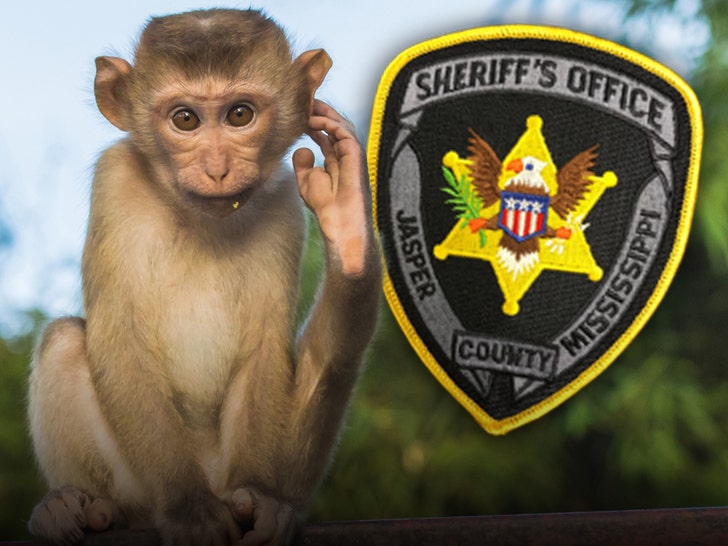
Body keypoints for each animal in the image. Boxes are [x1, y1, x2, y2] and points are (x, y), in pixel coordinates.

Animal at [26, 9, 380, 546]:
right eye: (185, 119)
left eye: (239, 115)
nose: (217, 169)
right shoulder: (115, 180)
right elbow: (120, 338)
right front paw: (190, 509)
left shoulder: (281, 202)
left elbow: (264, 353)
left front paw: (261, 500)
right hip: (135, 485)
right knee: (66, 340)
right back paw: (76, 509)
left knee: (329, 360)